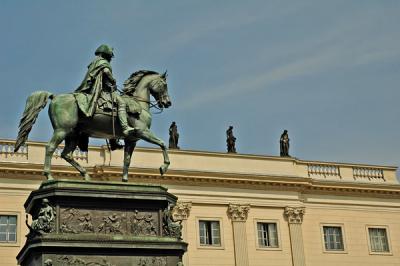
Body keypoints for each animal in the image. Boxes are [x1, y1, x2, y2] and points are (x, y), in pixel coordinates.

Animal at [14, 69, 171, 182]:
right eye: (164, 85)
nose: (167, 102)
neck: (138, 103)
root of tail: (55, 96)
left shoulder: (131, 139)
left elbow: (127, 160)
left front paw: (125, 180)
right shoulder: (143, 132)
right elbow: (163, 143)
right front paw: (164, 167)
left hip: (73, 134)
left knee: (66, 154)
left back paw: (86, 175)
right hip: (62, 130)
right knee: (50, 148)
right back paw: (49, 176)